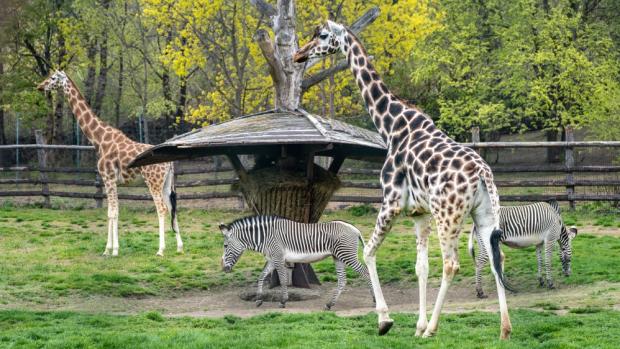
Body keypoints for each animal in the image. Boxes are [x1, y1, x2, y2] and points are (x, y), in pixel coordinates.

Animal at [36, 70, 183, 256]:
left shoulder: (108, 178)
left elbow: (112, 213)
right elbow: (112, 212)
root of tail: (169, 163)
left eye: (53, 78)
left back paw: (160, 250)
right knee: (172, 208)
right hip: (166, 184)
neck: (99, 140)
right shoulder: (111, 181)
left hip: (153, 182)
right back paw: (180, 247)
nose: (40, 86)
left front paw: (113, 250)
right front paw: (109, 249)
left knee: (162, 209)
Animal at [219, 215, 372, 308]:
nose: (223, 269)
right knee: (342, 280)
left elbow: (282, 280)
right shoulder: (272, 259)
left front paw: (283, 301)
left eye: (225, 246)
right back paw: (330, 304)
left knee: (365, 272)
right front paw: (258, 299)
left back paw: (374, 300)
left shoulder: (278, 258)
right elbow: (261, 276)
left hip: (347, 255)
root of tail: (355, 228)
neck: (265, 237)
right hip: (338, 257)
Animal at [296, 21, 512, 338]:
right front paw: (416, 325)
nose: (298, 55)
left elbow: (369, 252)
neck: (392, 126)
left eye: (322, 36)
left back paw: (433, 329)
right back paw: (504, 330)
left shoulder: (391, 202)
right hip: (484, 214)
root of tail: (483, 173)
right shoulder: (419, 213)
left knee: (451, 264)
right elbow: (420, 267)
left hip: (448, 216)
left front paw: (386, 320)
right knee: (498, 258)